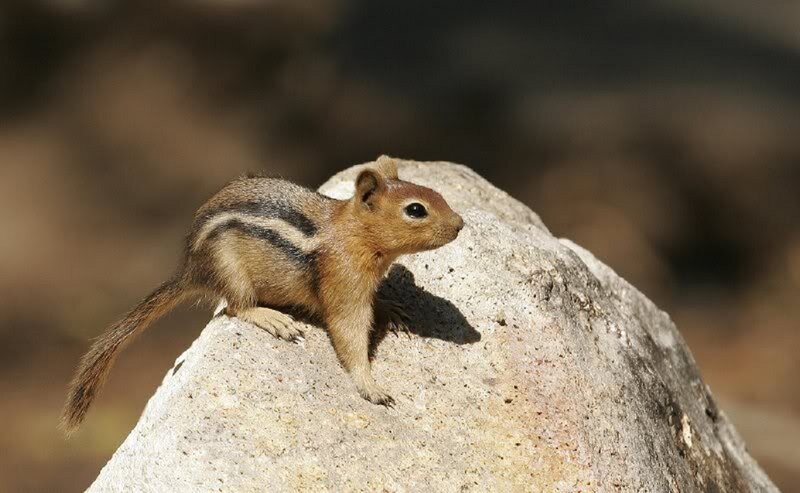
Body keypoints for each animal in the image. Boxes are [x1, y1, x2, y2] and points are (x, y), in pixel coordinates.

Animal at [61, 156, 464, 435]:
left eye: (438, 195)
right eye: (416, 210)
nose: (460, 224)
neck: (352, 232)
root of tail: (190, 268)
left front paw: (391, 307)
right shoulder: (343, 286)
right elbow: (349, 335)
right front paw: (370, 386)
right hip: (231, 270)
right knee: (236, 307)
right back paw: (272, 319)